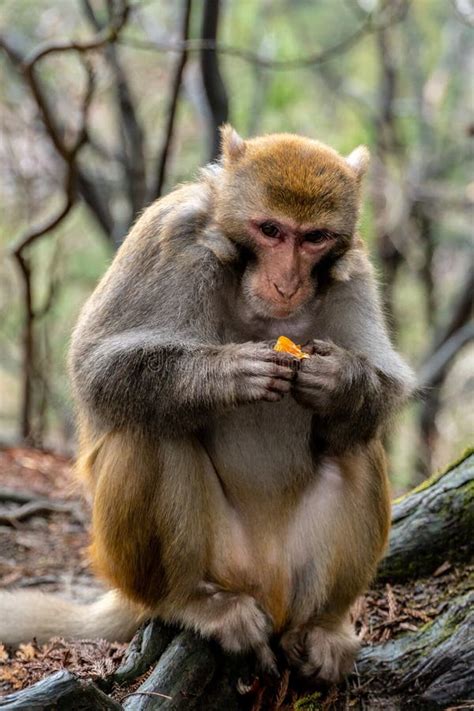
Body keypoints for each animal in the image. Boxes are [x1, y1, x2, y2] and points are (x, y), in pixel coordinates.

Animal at [0, 128, 412, 684]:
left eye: (314, 238)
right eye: (270, 230)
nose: (286, 283)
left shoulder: (355, 270)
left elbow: (387, 387)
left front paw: (339, 381)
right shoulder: (172, 234)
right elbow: (94, 367)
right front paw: (226, 374)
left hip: (294, 576)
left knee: (356, 448)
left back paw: (323, 626)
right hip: (187, 561)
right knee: (151, 426)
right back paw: (191, 602)